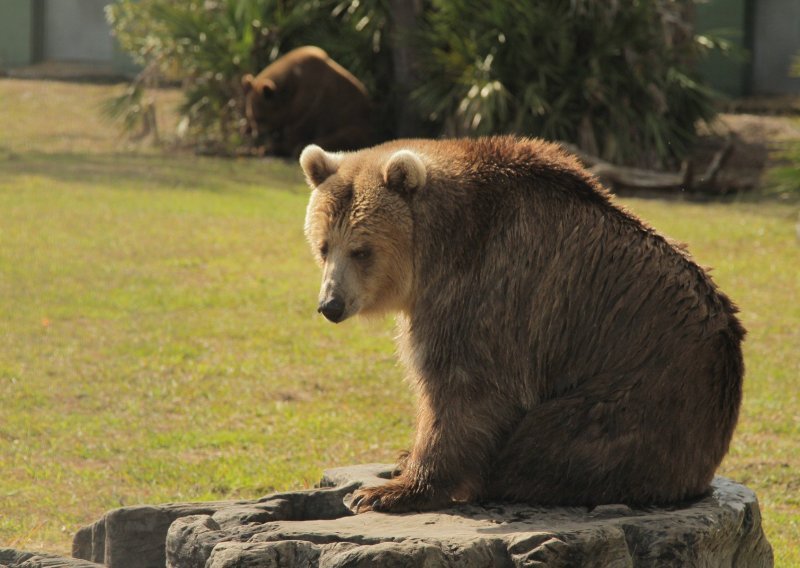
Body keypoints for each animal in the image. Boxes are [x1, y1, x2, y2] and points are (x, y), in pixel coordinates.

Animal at [241, 45, 376, 156]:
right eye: (251, 116)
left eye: (261, 118)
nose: (255, 135)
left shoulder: (310, 102)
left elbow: (296, 130)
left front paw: (277, 147)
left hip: (353, 123)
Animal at [298, 135, 744, 512]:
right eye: (323, 246)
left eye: (362, 250)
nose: (330, 304)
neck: (441, 246)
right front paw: (401, 461)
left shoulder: (488, 290)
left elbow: (464, 390)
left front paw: (389, 491)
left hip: (636, 397)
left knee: (555, 441)